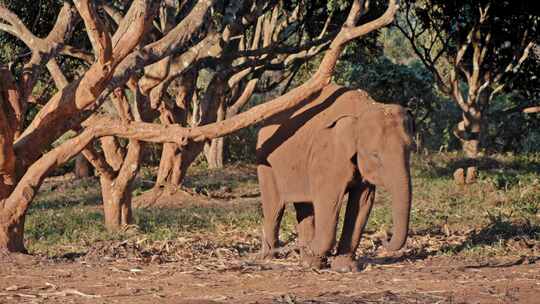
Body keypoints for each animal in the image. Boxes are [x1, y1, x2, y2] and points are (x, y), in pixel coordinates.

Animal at [255, 83, 416, 270]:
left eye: (410, 149)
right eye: (375, 155)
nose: (383, 238)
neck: (363, 109)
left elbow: (362, 203)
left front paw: (345, 267)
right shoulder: (328, 154)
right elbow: (329, 199)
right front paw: (318, 253)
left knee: (304, 207)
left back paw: (307, 260)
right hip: (266, 164)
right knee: (274, 208)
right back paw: (270, 257)